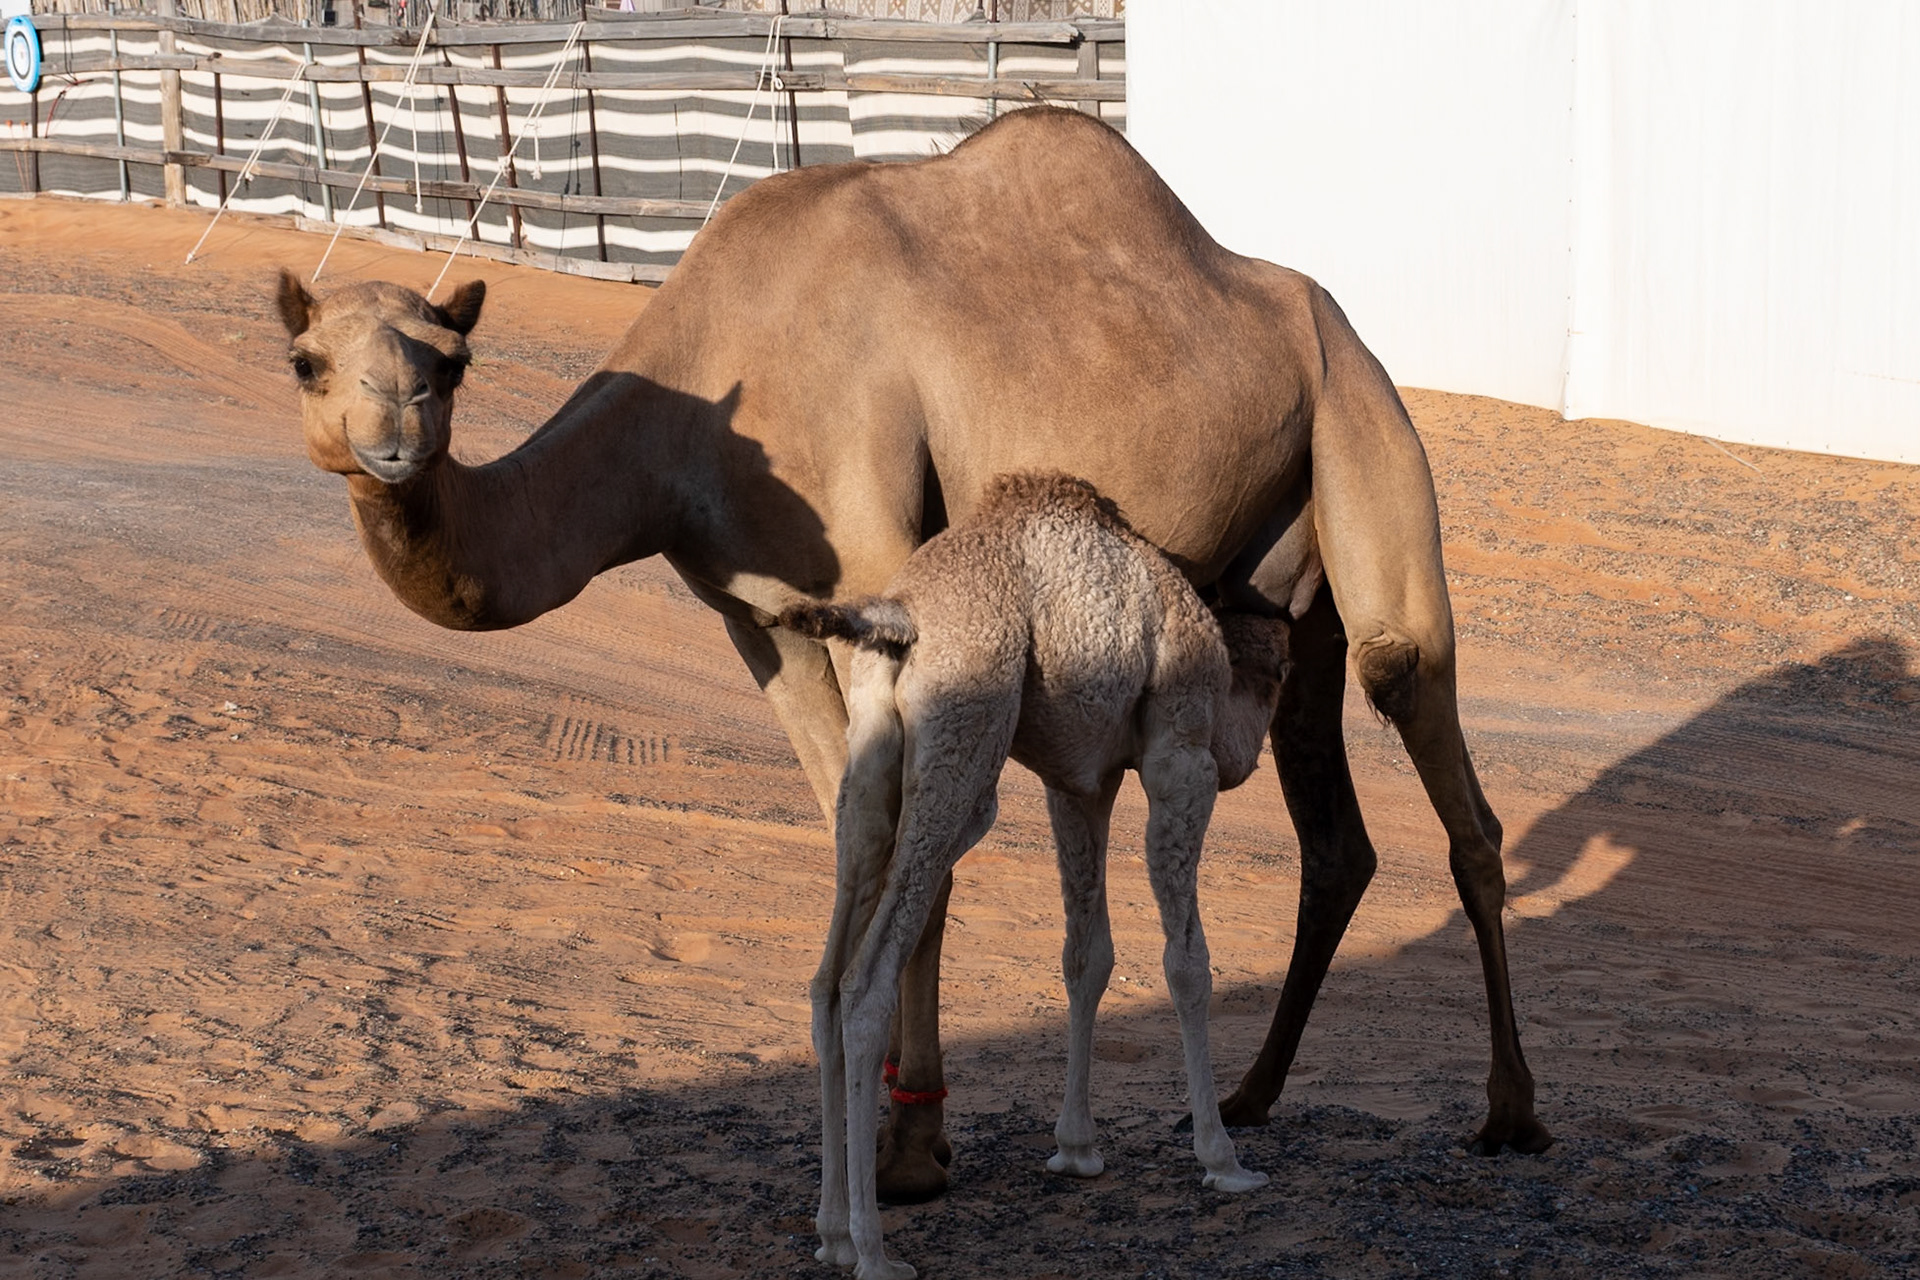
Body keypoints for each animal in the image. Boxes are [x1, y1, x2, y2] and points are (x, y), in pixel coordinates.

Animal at [782, 472, 1283, 1279]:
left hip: (869, 766)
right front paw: (1222, 1158)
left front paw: (1076, 1149)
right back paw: (874, 1250)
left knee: (827, 982)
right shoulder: (1180, 753)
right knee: (864, 984)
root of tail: (899, 618)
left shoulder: (1081, 782)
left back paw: (830, 1232)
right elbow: (1187, 962)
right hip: (966, 748)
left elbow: (1088, 954)